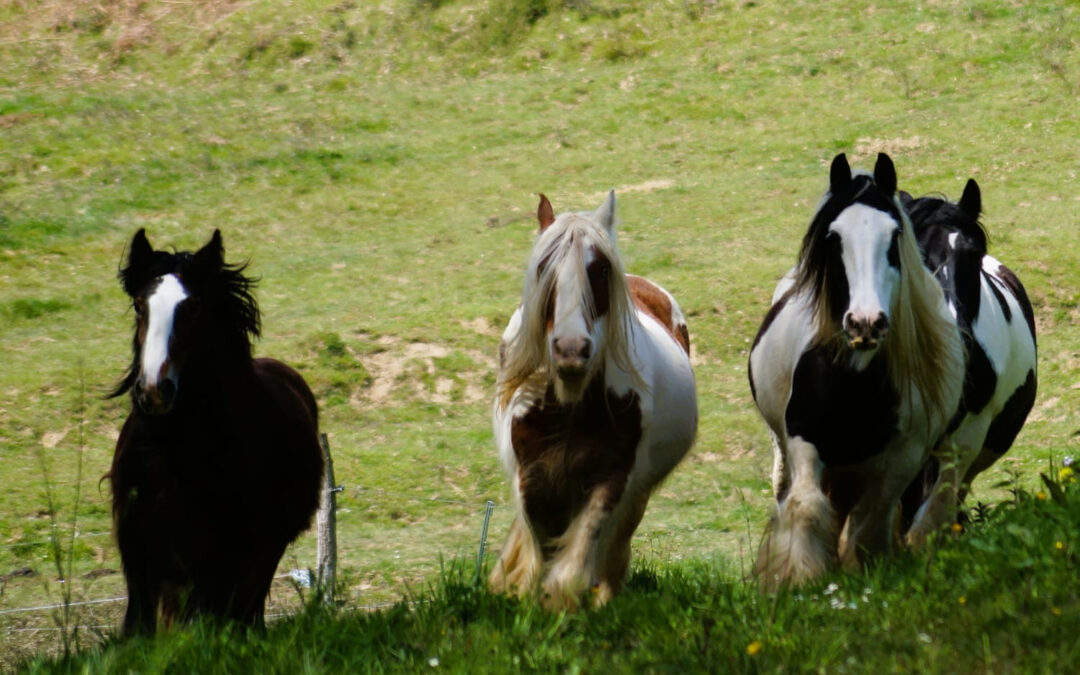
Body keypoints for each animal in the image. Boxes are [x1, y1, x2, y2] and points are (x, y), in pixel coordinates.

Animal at [107, 229, 324, 635]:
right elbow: (140, 624)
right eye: (140, 306)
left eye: (192, 307)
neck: (179, 452)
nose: (154, 391)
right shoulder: (140, 546)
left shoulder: (227, 552)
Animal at [489, 191, 697, 610]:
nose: (571, 350)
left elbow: (576, 563)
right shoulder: (533, 479)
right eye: (543, 268)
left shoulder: (613, 478)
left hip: (638, 490)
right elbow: (544, 551)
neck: (569, 408)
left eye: (600, 270)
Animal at [748, 153, 965, 589]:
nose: (866, 323)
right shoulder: (802, 439)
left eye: (894, 236)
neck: (854, 382)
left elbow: (871, 522)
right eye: (834, 237)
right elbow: (805, 506)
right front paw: (799, 578)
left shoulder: (903, 455)